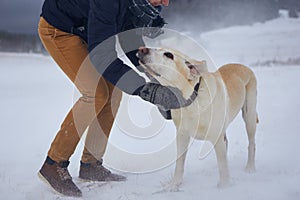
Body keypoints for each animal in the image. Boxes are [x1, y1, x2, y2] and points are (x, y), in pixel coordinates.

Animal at [138, 47, 258, 188]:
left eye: (168, 55)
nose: (142, 49)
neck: (192, 100)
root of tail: (243, 66)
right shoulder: (182, 135)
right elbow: (179, 163)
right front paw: (174, 185)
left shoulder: (217, 137)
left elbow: (223, 164)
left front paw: (224, 186)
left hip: (249, 115)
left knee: (251, 143)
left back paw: (250, 168)